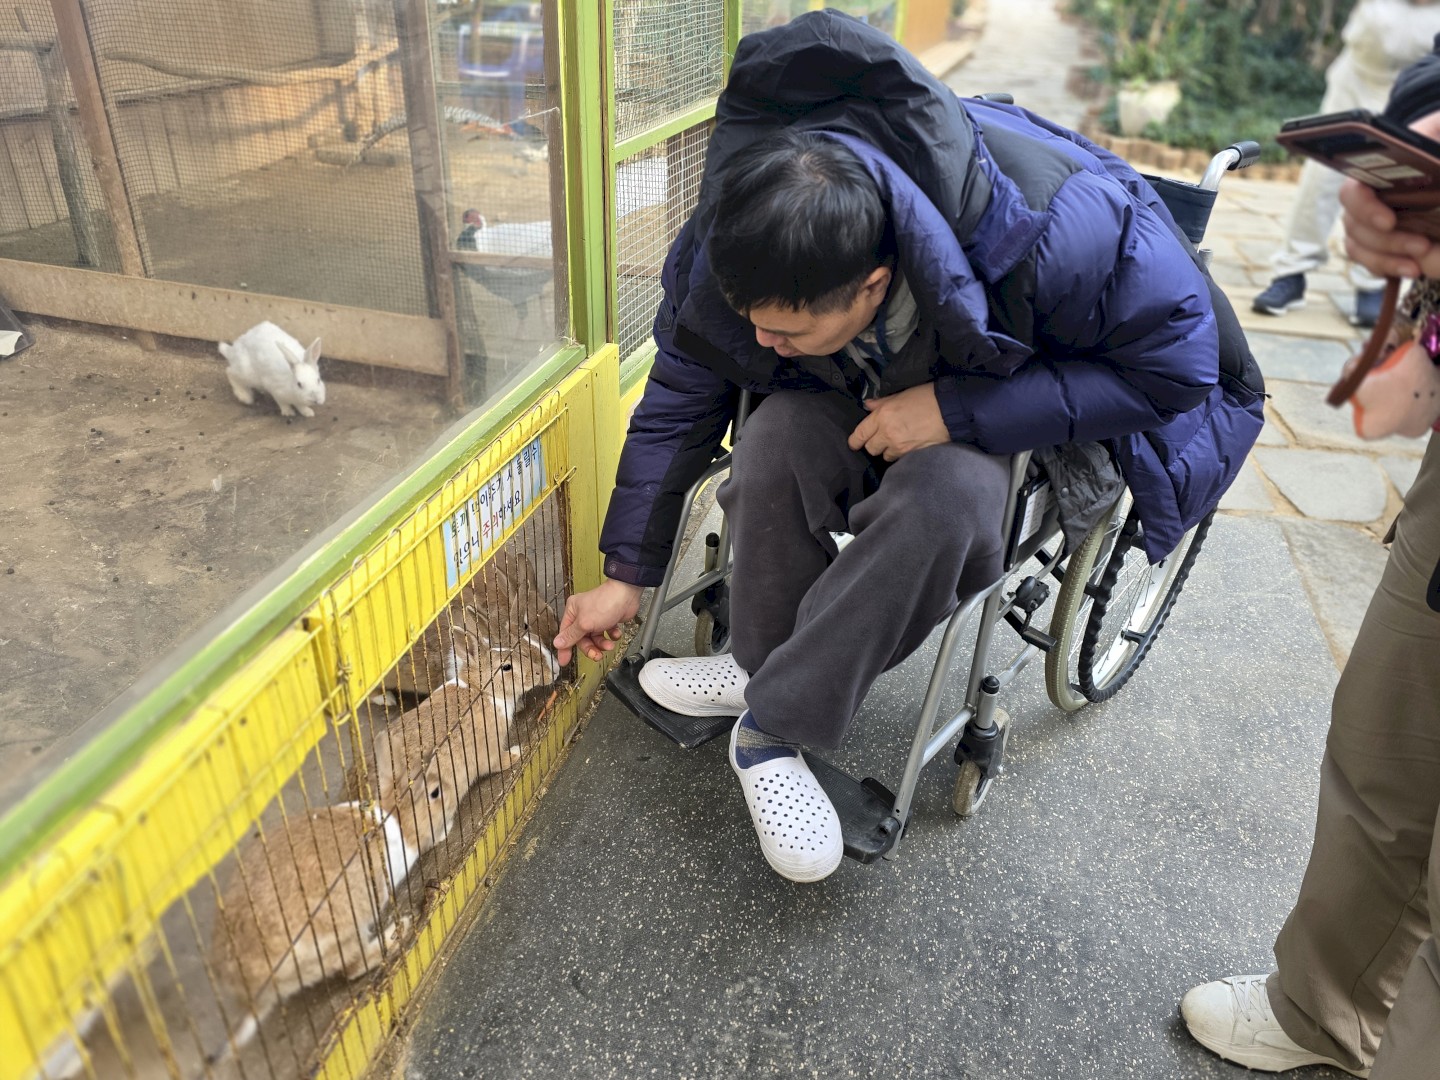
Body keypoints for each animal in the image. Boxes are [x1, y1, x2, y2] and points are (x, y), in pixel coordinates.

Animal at [210, 753, 457, 1063]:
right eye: (435, 793)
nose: (451, 789)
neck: (395, 812)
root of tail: (250, 987)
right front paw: (447, 828)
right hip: (344, 931)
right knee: (353, 966)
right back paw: (396, 931)